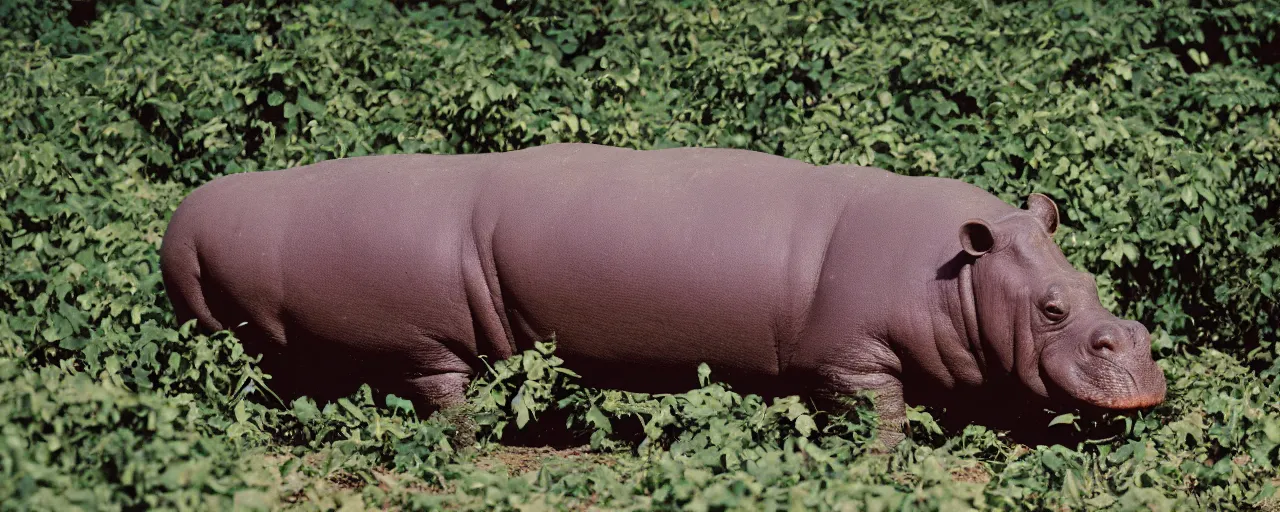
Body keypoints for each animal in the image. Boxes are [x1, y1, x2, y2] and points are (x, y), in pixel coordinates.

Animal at [157, 142, 1162, 445]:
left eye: (1092, 281)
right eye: (1053, 310)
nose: (1142, 355)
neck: (960, 272)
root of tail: (181, 223)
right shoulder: (855, 360)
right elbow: (877, 418)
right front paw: (888, 465)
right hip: (423, 344)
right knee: (448, 400)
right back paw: (483, 453)